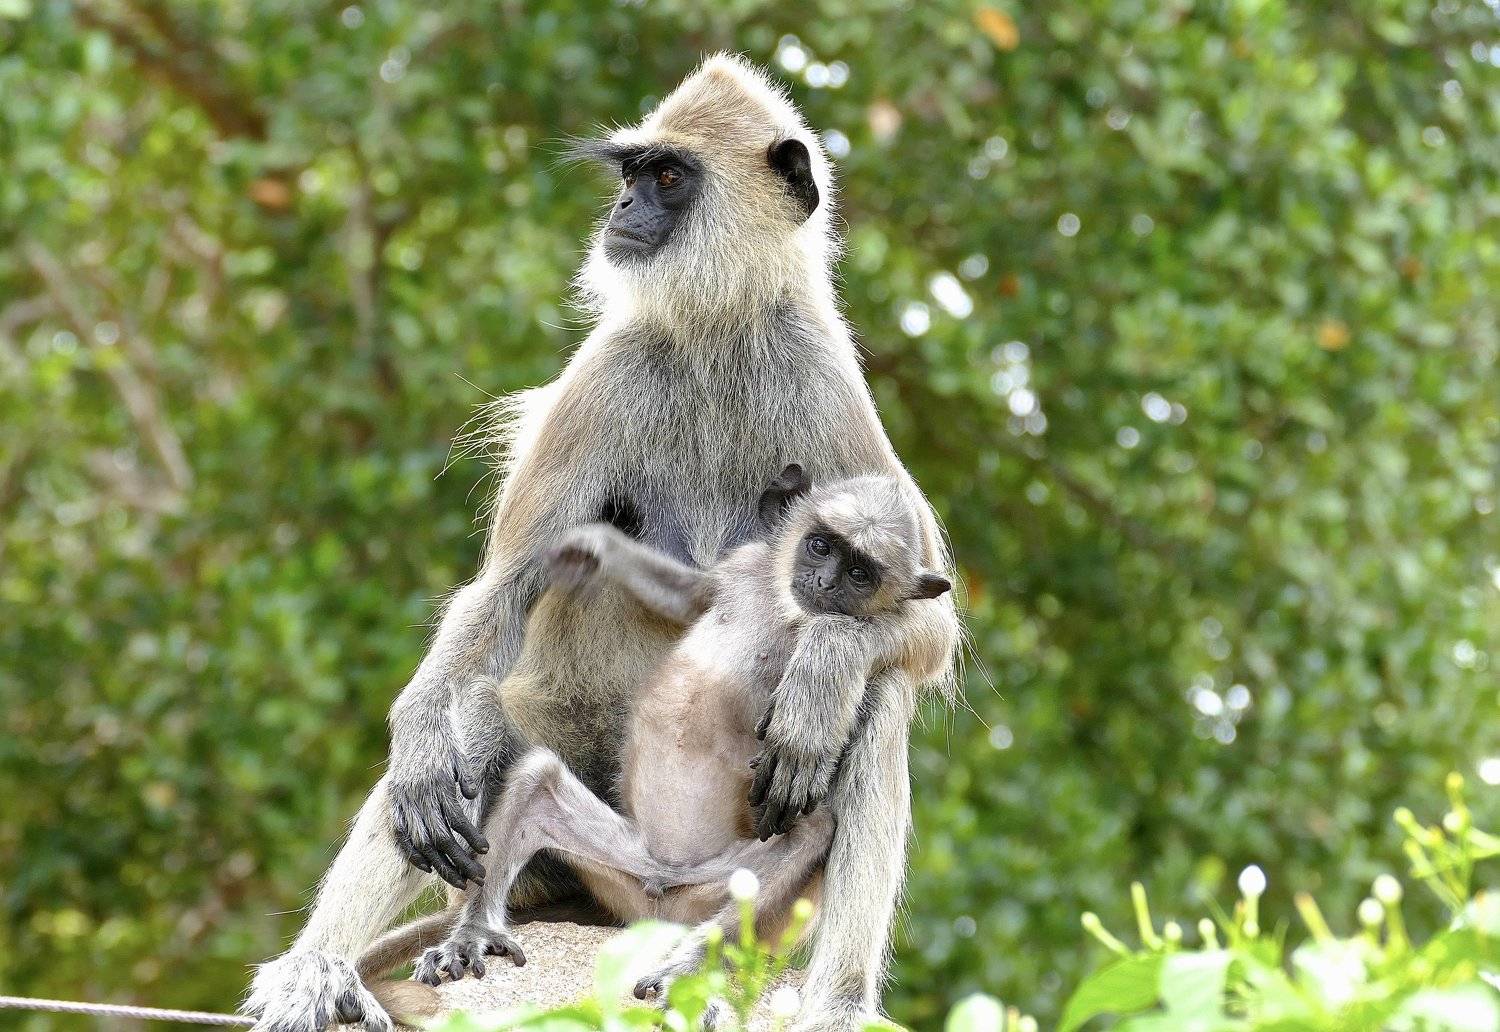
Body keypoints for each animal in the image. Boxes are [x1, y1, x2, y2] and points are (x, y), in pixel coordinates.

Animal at [391, 468, 951, 1003]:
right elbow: (690, 597)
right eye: (821, 545)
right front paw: (595, 545)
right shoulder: (744, 566)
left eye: (860, 574)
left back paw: (686, 964)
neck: (784, 606)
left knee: (811, 834)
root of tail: (663, 891)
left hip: (720, 883)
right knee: (535, 778)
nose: (823, 581)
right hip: (618, 864)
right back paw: (474, 932)